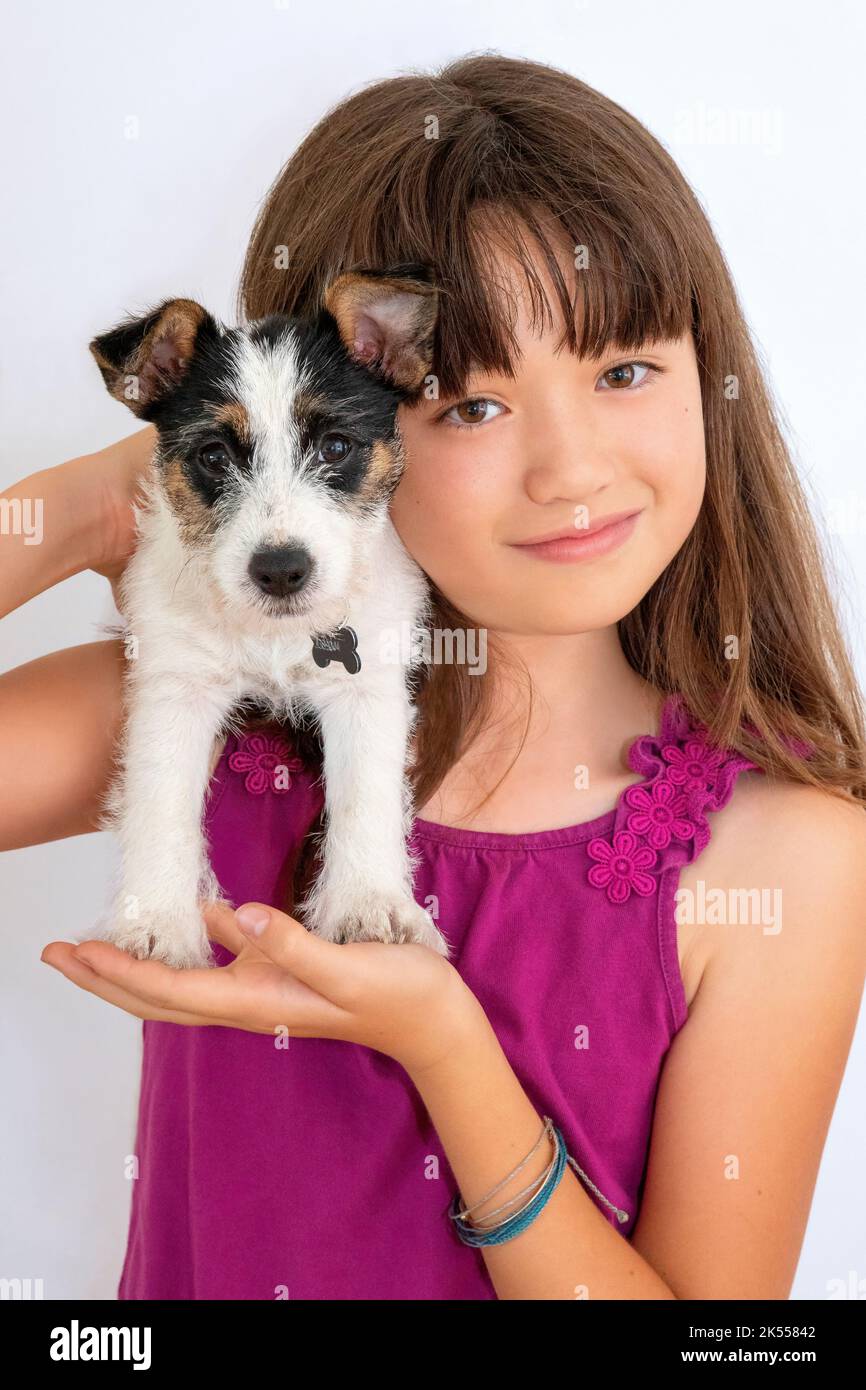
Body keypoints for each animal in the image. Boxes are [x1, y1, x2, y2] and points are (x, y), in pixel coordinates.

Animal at [88, 268, 450, 967]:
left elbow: (366, 794)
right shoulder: (175, 686)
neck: (275, 636)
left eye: (335, 446)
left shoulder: (367, 686)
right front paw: (157, 922)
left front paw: (369, 905)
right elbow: (160, 798)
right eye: (213, 456)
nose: (281, 570)